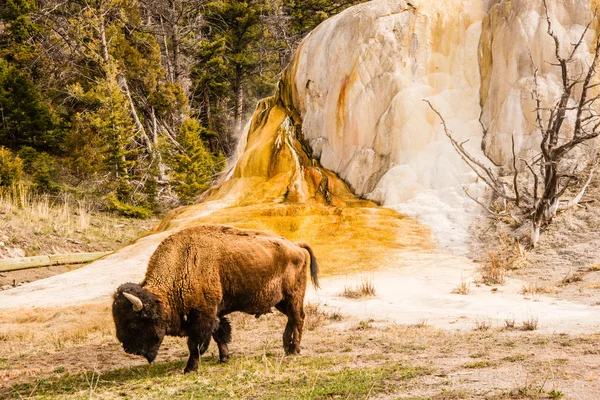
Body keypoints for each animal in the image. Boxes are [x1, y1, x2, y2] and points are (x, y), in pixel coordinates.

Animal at [112, 225, 318, 372]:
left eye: (133, 323)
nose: (128, 349)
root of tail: (296, 246)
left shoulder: (203, 315)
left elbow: (196, 344)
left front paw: (190, 369)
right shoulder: (215, 313)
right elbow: (220, 335)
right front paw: (224, 358)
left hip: (293, 296)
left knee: (298, 319)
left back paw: (294, 350)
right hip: (281, 301)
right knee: (292, 319)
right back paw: (286, 347)